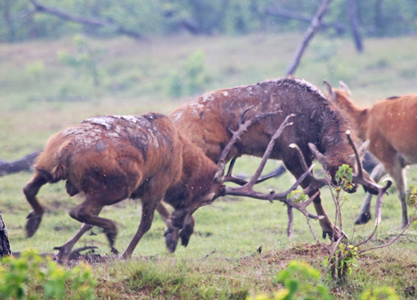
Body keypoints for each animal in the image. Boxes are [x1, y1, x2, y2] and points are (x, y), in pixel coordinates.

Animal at [167, 77, 388, 239]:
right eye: (329, 173)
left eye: (353, 166)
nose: (352, 187)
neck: (314, 126)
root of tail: (172, 120)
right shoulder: (290, 154)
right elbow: (314, 192)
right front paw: (333, 232)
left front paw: (372, 186)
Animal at [324, 81, 416, 227]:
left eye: (325, 96)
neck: (365, 122)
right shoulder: (398, 158)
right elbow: (375, 175)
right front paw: (363, 216)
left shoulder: (387, 156)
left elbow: (401, 192)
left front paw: (404, 222)